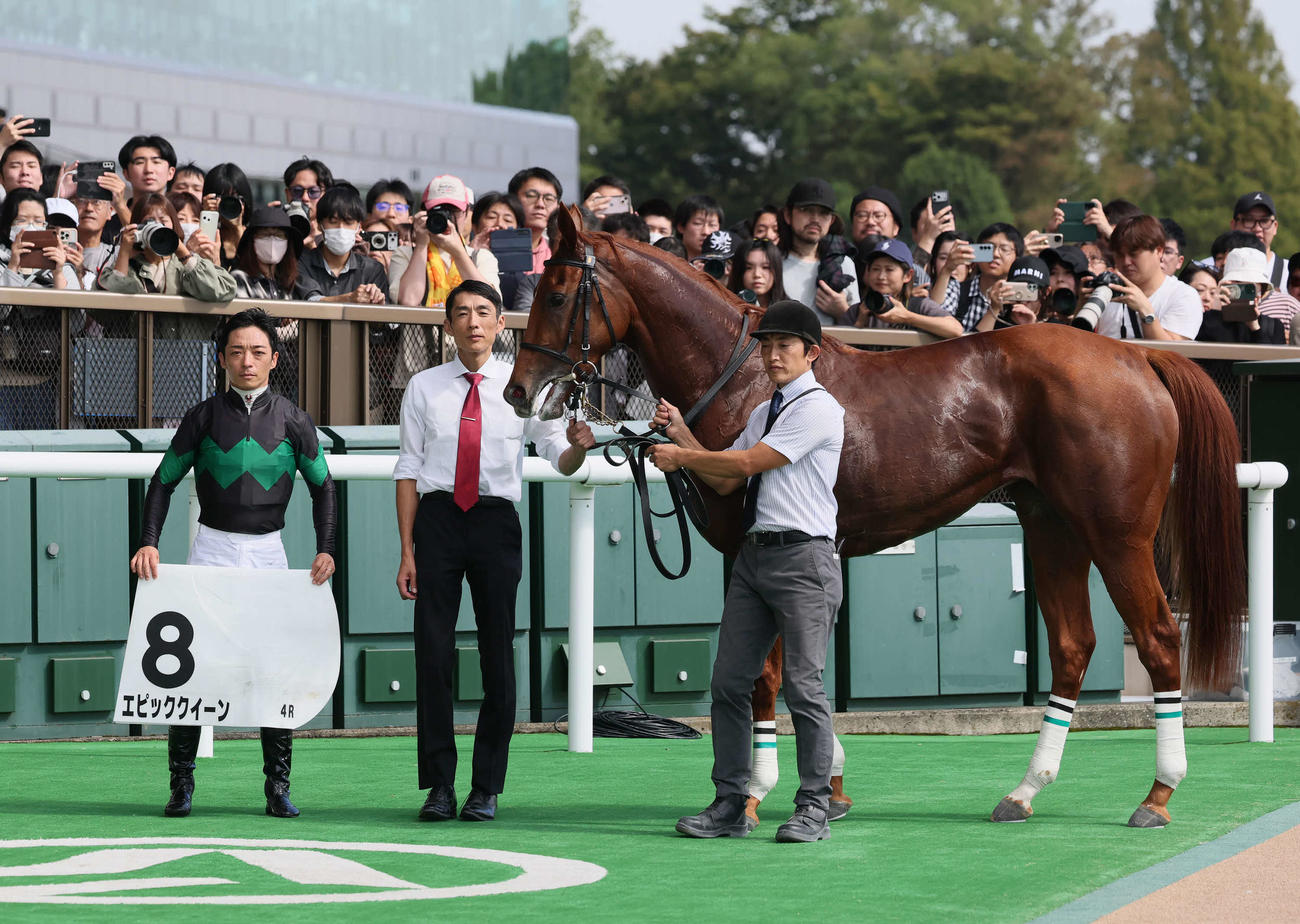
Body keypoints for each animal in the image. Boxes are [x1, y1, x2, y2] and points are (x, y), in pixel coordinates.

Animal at [504, 207, 1246, 829]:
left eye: (559, 295)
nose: (517, 389)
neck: (751, 378)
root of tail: (1138, 356)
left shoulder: (752, 548)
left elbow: (769, 675)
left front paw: (758, 794)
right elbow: (801, 675)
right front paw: (828, 788)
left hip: (1117, 536)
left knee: (1157, 639)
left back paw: (1157, 795)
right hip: (1051, 528)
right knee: (1072, 647)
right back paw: (1024, 792)